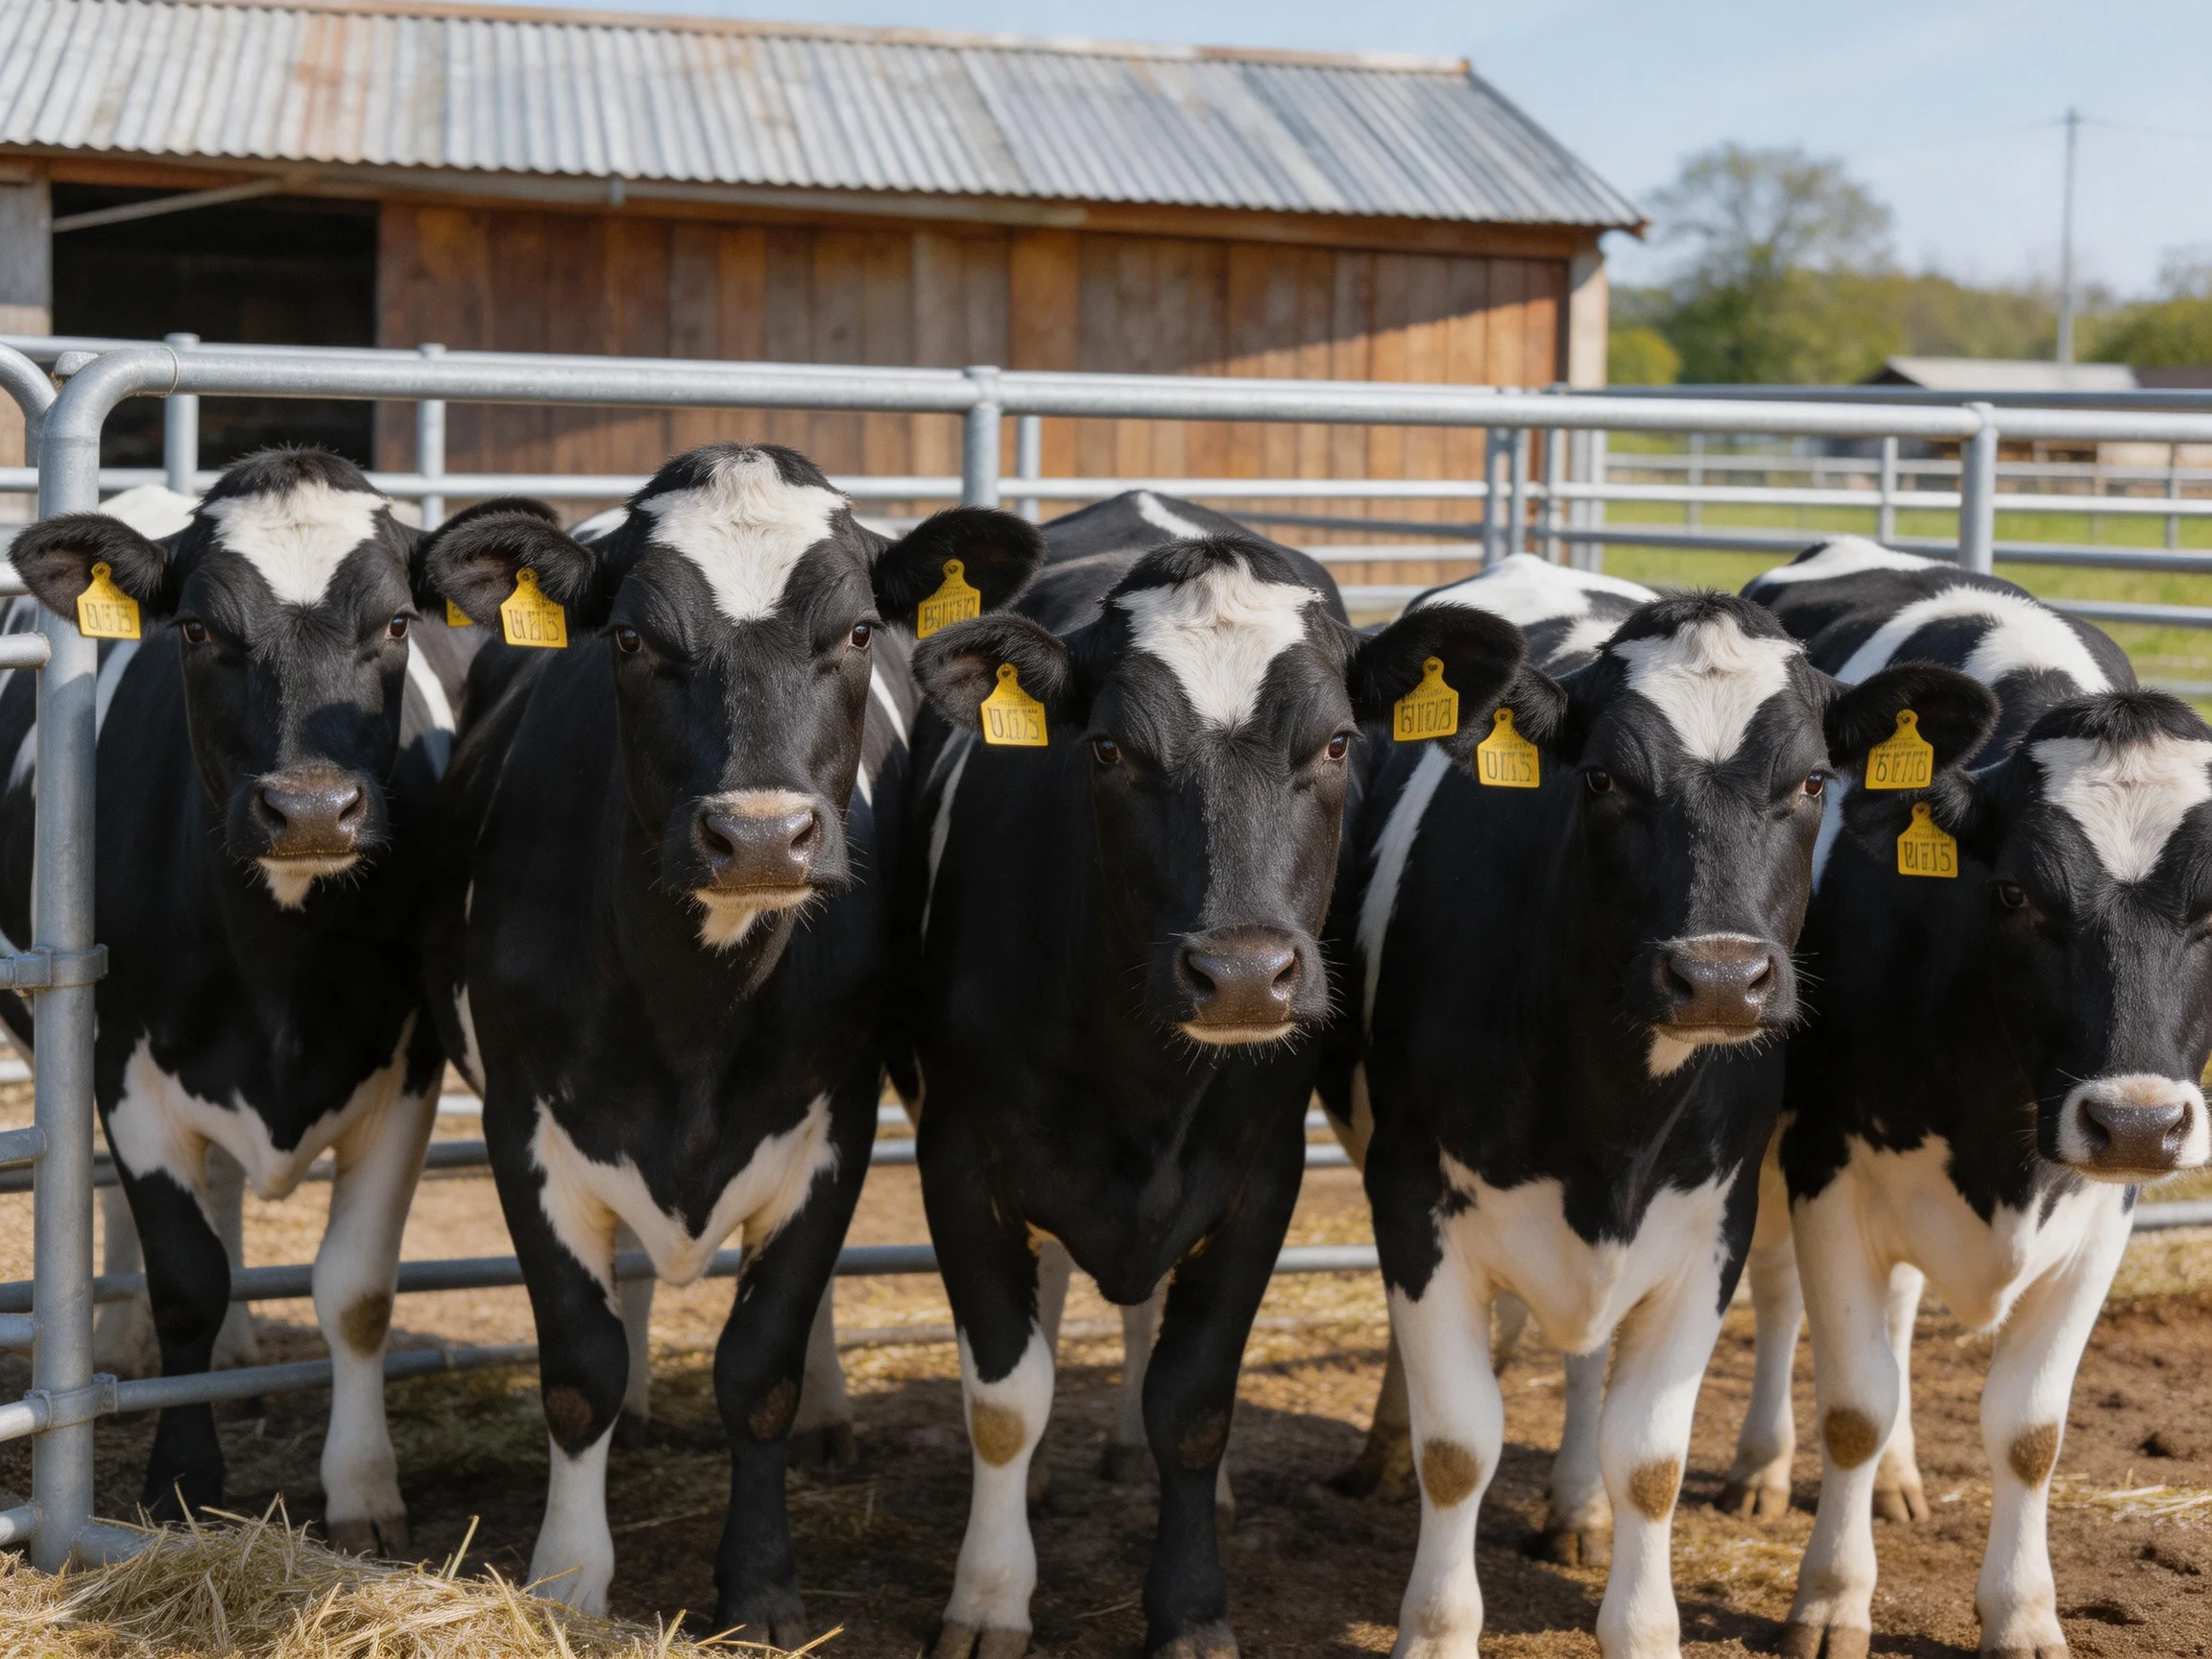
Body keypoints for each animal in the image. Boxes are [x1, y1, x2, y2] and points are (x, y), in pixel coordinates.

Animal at [0, 449, 477, 1552]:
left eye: (397, 623)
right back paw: (122, 1338)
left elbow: (357, 1291)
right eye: (195, 630)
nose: (309, 809)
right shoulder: (125, 1067)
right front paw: (181, 1478)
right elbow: (186, 1278)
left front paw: (364, 1492)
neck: (277, 972)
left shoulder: (409, 1067)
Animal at [417, 443, 1044, 1641]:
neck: (692, 1018)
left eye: (857, 631)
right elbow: (580, 1363)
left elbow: (761, 1367)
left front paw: (759, 1588)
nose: (759, 836)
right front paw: (568, 1580)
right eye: (628, 638)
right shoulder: (526, 1120)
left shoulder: (832, 1124)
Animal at [899, 529, 1533, 1659]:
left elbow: (1193, 1406)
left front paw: (1191, 1607)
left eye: (1337, 744)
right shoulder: (957, 1162)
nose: (1240, 974)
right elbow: (1006, 1400)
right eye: (1107, 750)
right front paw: (988, 1597)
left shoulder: (1257, 1182)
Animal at [1331, 574, 1987, 1659]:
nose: (1718, 977)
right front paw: (1435, 1628)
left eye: (1813, 783)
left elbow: (1648, 1459)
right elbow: (1458, 1443)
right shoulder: (1411, 1191)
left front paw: (1639, 1620)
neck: (1612, 1121)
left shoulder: (1710, 1224)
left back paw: (1576, 1509)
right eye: (1601, 779)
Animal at [1733, 537, 2212, 1659]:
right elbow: (1853, 1405)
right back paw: (1763, 1464)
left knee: (1901, 1312)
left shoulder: (2104, 1211)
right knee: (1779, 1295)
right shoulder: (1827, 1165)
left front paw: (2023, 1613)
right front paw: (1832, 1598)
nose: (2136, 1121)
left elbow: (2030, 1431)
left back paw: (1900, 1480)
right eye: (2017, 892)